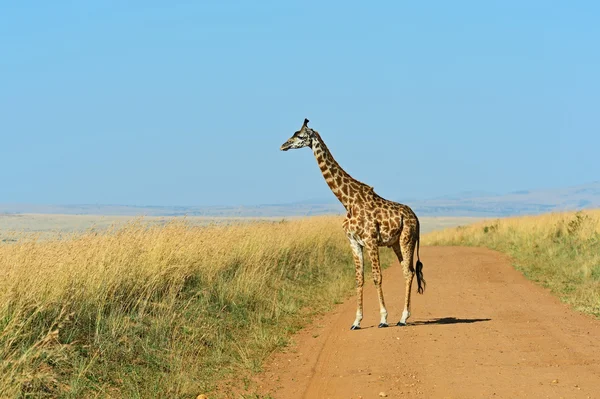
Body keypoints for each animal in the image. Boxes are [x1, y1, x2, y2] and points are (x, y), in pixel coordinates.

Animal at [282, 119, 426, 332]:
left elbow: (377, 276)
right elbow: (359, 278)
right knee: (407, 272)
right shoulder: (353, 242)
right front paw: (356, 321)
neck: (348, 201)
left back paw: (402, 318)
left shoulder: (371, 240)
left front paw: (383, 319)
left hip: (407, 239)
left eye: (299, 136)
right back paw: (403, 316)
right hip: (395, 243)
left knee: (409, 272)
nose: (283, 145)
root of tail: (416, 217)